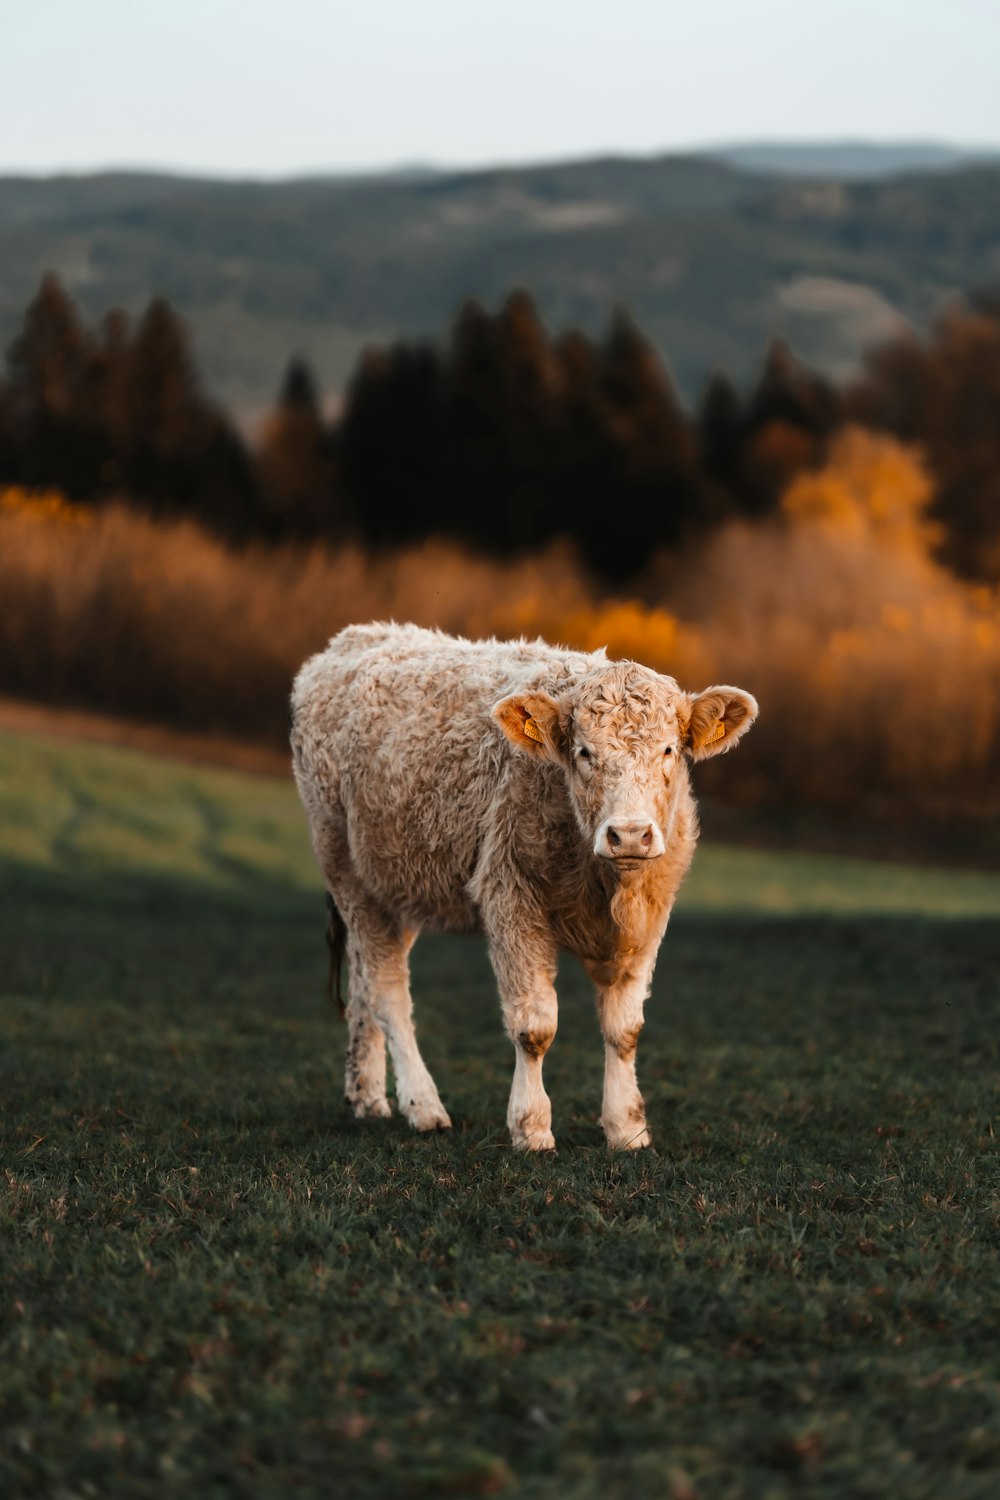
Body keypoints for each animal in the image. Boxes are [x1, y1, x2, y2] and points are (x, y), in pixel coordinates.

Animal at [289, 621, 758, 1146]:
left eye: (669, 750)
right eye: (584, 752)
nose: (630, 834)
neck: (605, 887)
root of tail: (358, 636)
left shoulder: (649, 919)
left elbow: (624, 1029)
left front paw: (627, 1127)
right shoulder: (510, 900)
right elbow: (535, 1027)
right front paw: (531, 1127)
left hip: (393, 885)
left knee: (366, 983)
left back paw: (367, 1096)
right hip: (344, 867)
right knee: (389, 992)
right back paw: (423, 1105)